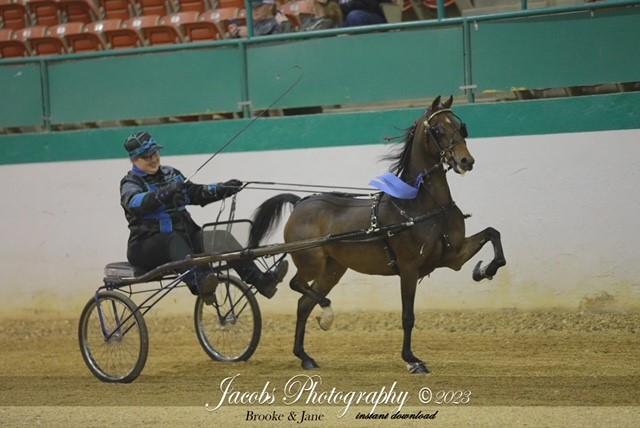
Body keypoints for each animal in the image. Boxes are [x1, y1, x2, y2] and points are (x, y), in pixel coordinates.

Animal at [249, 95, 504, 372]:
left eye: (460, 126)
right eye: (438, 129)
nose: (466, 161)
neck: (423, 203)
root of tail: (300, 203)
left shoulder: (453, 255)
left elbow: (493, 234)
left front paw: (485, 270)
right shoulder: (409, 268)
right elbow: (407, 316)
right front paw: (411, 359)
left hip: (333, 268)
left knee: (304, 304)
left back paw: (305, 356)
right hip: (311, 262)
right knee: (297, 285)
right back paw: (326, 315)